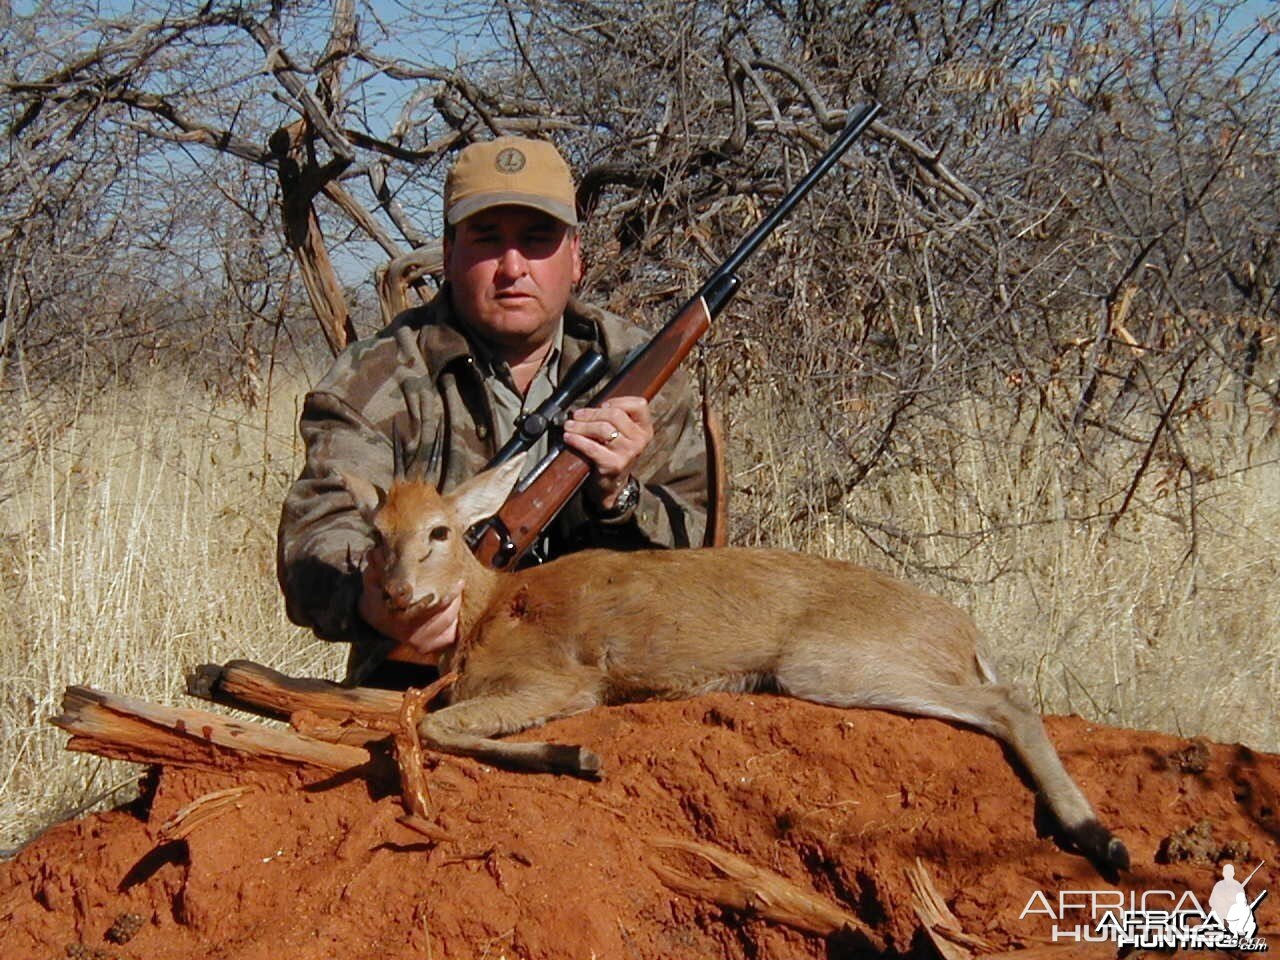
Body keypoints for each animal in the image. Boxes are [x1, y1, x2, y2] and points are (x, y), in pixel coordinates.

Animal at [340, 455, 1131, 875]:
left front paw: (578, 756)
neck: (493, 605)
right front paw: (576, 756)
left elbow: (435, 728)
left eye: (441, 531)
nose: (401, 593)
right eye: (376, 534)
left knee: (1012, 701)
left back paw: (1104, 839)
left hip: (824, 667)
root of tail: (962, 628)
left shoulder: (563, 682)